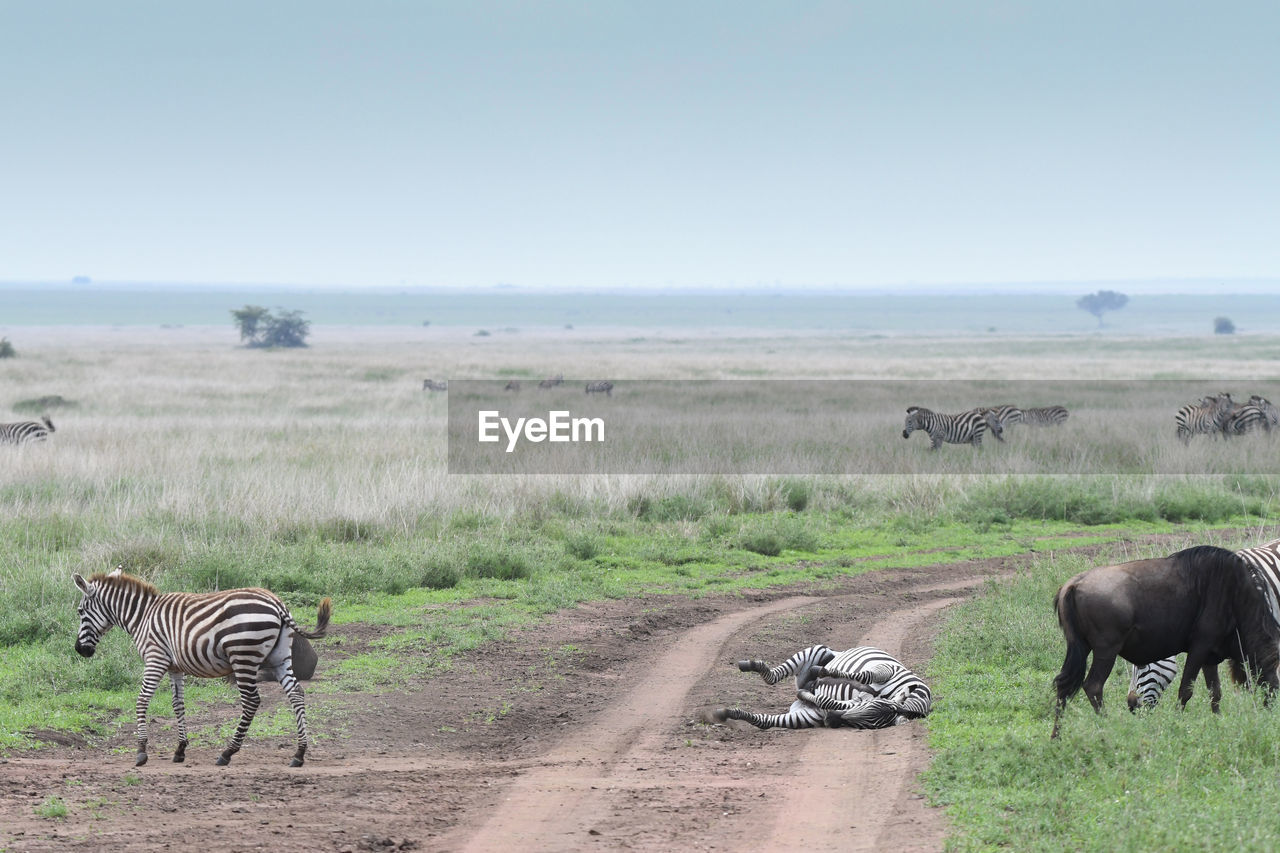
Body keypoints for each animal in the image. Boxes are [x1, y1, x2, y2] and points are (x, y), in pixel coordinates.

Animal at [70, 563, 332, 763]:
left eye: (80, 611)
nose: (80, 650)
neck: (142, 616)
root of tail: (277, 603)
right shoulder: (174, 667)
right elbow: (178, 704)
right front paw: (180, 749)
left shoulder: (155, 659)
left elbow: (142, 700)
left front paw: (141, 750)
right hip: (280, 657)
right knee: (296, 693)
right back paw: (299, 753)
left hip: (243, 656)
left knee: (252, 701)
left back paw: (228, 752)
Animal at [711, 640, 931, 727]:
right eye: (868, 707)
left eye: (865, 725)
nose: (830, 720)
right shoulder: (887, 668)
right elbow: (866, 676)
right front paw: (823, 673)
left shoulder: (849, 703)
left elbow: (828, 701)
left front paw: (814, 694)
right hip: (816, 650)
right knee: (773, 676)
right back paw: (752, 665)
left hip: (804, 715)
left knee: (764, 721)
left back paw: (726, 713)